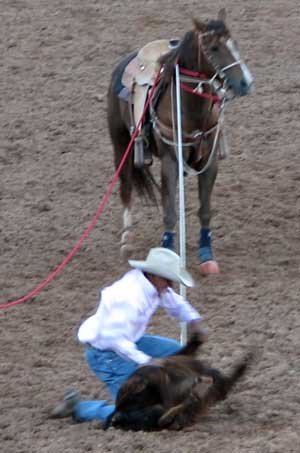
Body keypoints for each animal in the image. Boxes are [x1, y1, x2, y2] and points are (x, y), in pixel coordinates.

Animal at [107, 8, 253, 274]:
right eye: (214, 47)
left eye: (234, 43)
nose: (246, 82)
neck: (192, 108)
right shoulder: (170, 162)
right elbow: (170, 212)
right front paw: (168, 252)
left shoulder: (210, 162)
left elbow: (204, 210)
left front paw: (207, 256)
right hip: (121, 145)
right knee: (126, 188)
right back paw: (126, 241)